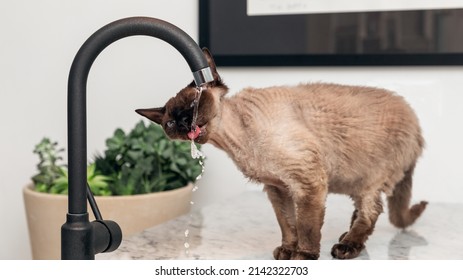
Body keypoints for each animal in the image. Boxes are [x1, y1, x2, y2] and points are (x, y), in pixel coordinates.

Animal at [137, 48, 428, 260]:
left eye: (193, 105)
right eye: (170, 122)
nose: (185, 122)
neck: (237, 143)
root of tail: (416, 123)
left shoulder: (307, 183)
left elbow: (307, 227)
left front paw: (304, 256)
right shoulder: (278, 189)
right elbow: (288, 224)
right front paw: (288, 250)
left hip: (370, 180)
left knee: (371, 212)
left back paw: (347, 247)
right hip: (357, 182)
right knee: (362, 212)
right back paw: (346, 237)